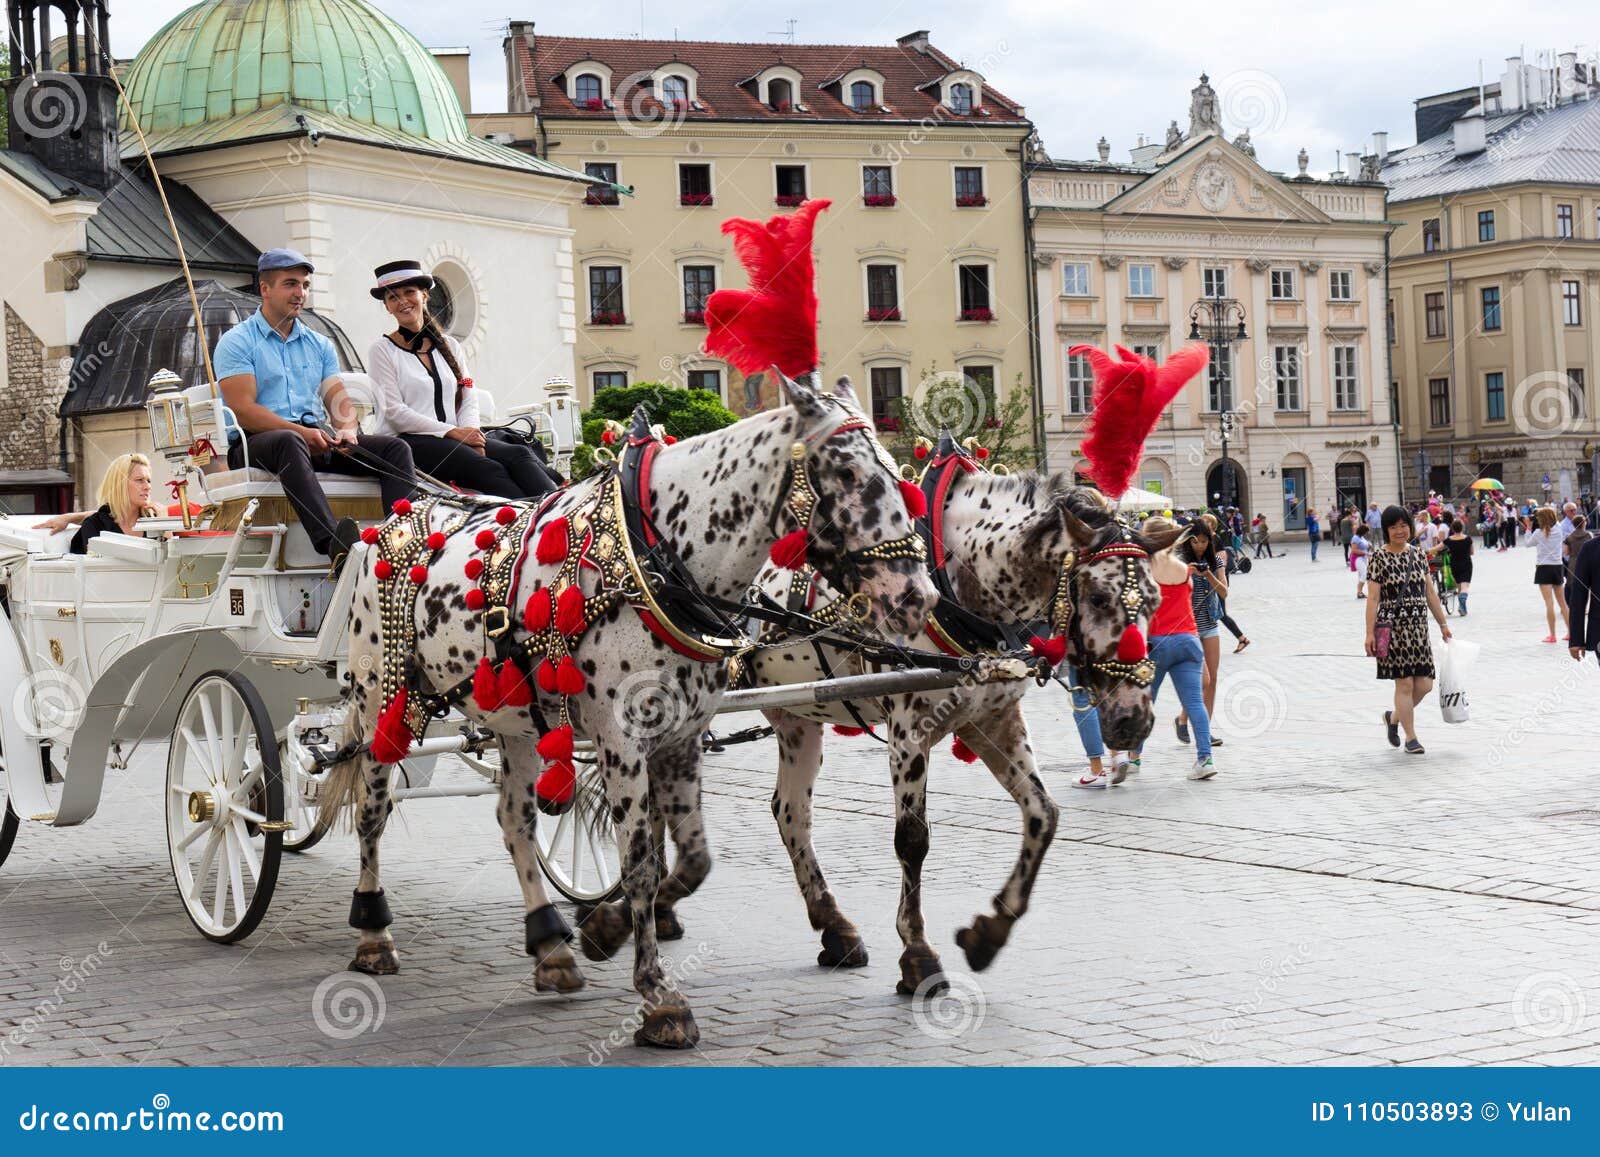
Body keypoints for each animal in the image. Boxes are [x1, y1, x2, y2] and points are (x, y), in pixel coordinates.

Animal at [315, 201, 934, 1049]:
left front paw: (604, 931)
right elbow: (641, 856)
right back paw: (373, 933)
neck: (655, 551)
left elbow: (693, 859)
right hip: (386, 700)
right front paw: (659, 997)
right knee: (375, 809)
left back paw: (549, 945)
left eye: (895, 467)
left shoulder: (680, 736)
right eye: (843, 470)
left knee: (514, 818)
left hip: (515, 718)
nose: (919, 592)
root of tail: (392, 520)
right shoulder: (619, 738)